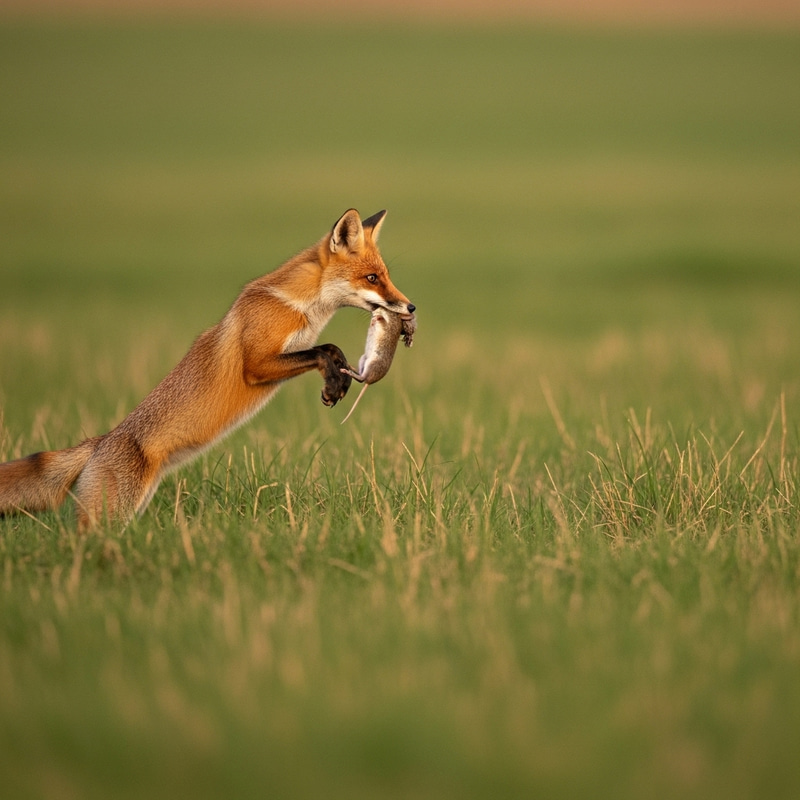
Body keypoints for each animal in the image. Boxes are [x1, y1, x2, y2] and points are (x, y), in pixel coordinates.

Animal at [0, 208, 415, 529]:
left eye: (386, 275)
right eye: (372, 278)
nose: (410, 307)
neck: (301, 307)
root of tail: (101, 442)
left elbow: (327, 351)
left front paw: (338, 382)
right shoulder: (257, 364)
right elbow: (323, 349)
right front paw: (333, 380)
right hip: (111, 514)